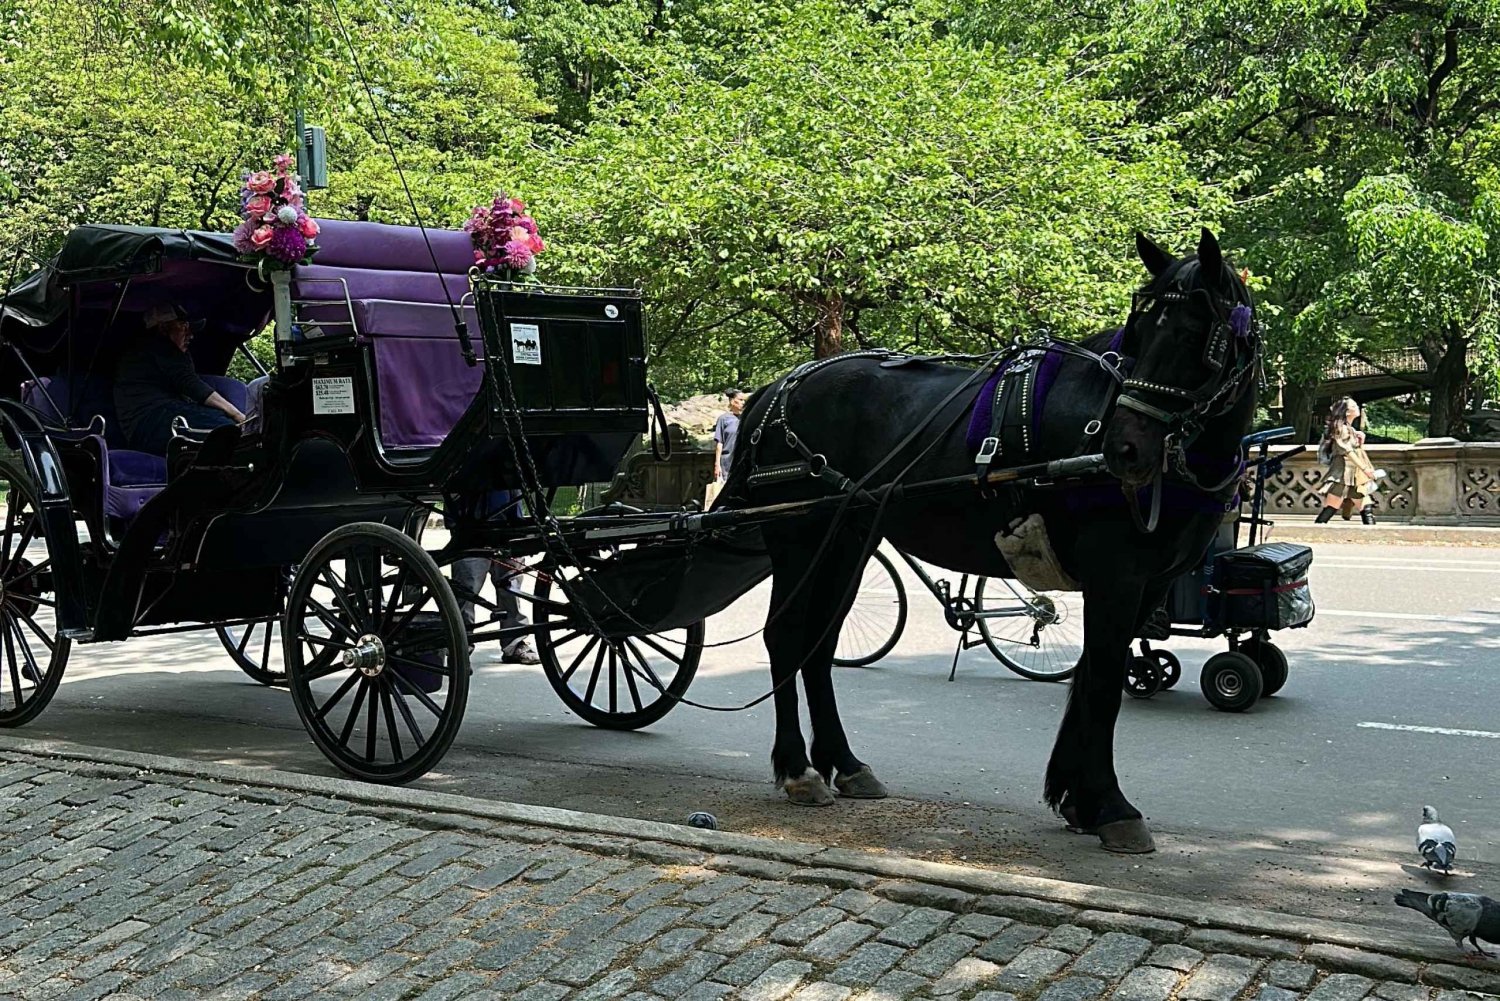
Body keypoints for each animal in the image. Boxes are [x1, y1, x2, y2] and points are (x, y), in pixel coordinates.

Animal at [720, 229, 1260, 852]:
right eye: (1139, 330)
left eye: (1196, 335)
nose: (1124, 449)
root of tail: (783, 385)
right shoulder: (1116, 577)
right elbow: (1102, 681)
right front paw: (1108, 803)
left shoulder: (1148, 584)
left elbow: (1095, 676)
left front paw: (1076, 797)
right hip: (800, 539)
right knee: (786, 637)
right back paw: (796, 768)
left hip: (847, 542)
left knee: (819, 643)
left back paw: (844, 762)